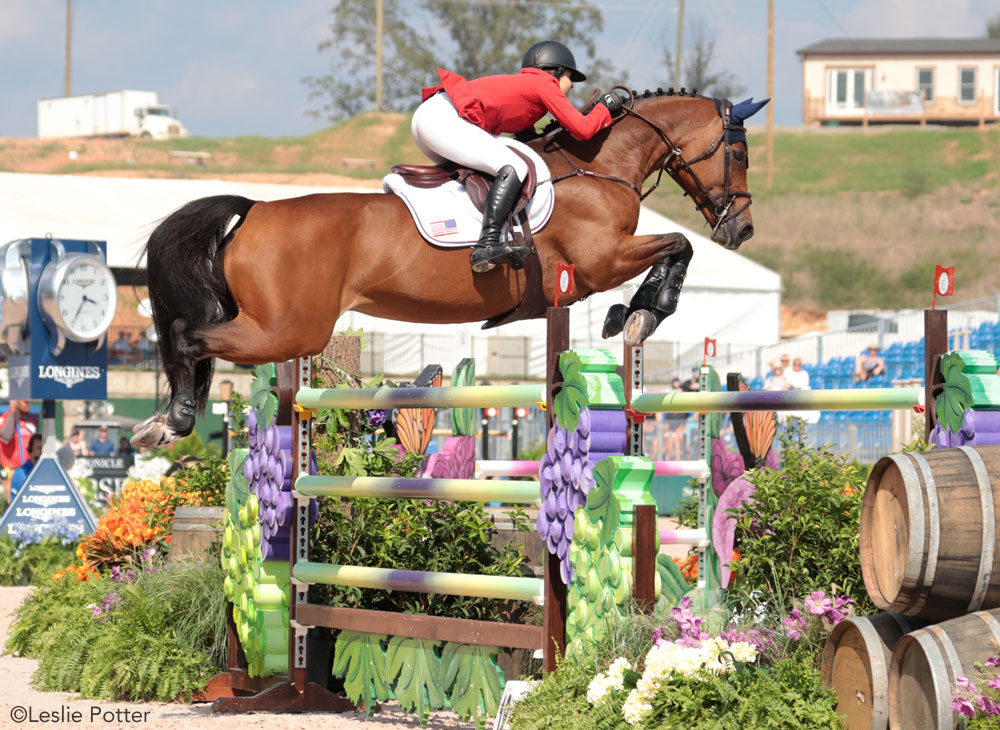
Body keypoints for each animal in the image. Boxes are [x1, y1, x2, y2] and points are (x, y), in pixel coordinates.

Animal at [127, 88, 764, 446]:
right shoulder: (599, 261)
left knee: (188, 340)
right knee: (186, 335)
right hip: (287, 330)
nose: (742, 230)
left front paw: (627, 315)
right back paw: (174, 421)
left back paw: (163, 421)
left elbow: (675, 247)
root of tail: (254, 209)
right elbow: (678, 244)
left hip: (277, 328)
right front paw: (641, 315)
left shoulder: (595, 267)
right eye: (738, 152)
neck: (599, 166)